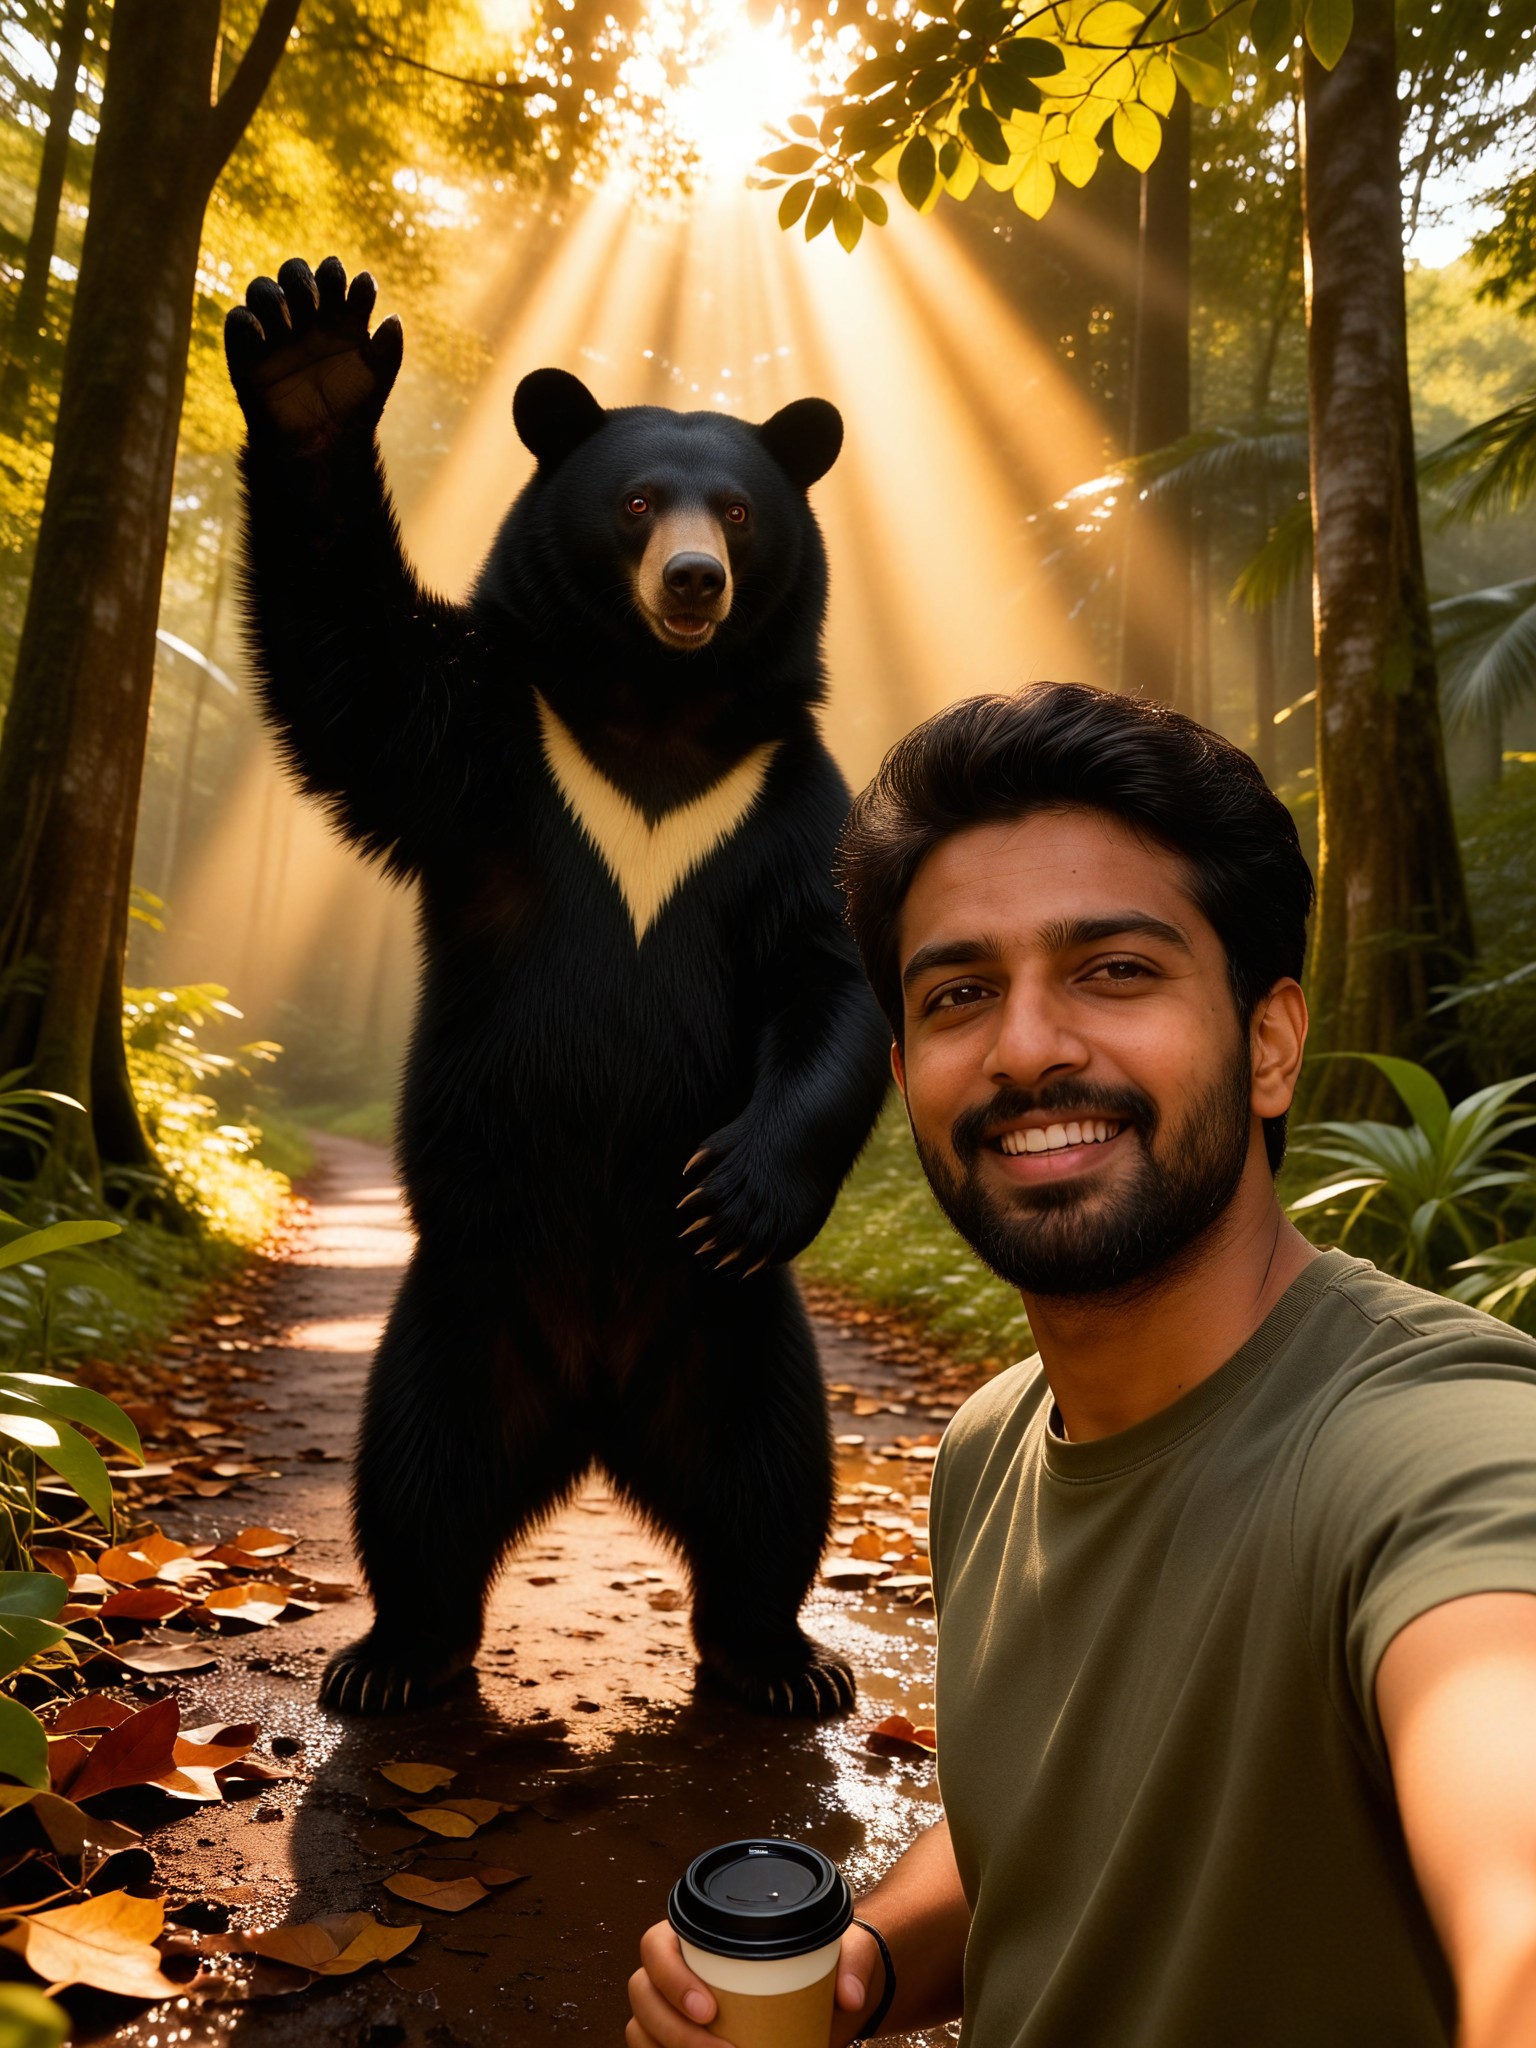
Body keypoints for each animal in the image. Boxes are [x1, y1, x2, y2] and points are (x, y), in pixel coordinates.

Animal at [223, 255, 891, 1718]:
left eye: (740, 511)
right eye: (636, 502)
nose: (692, 580)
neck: (656, 708)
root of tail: (595, 1404)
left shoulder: (789, 798)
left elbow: (831, 977)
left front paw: (736, 1190)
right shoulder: (489, 743)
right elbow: (358, 674)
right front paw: (312, 348)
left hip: (743, 1339)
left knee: (772, 1485)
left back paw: (782, 1658)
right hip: (456, 1312)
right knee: (415, 1481)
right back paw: (394, 1656)